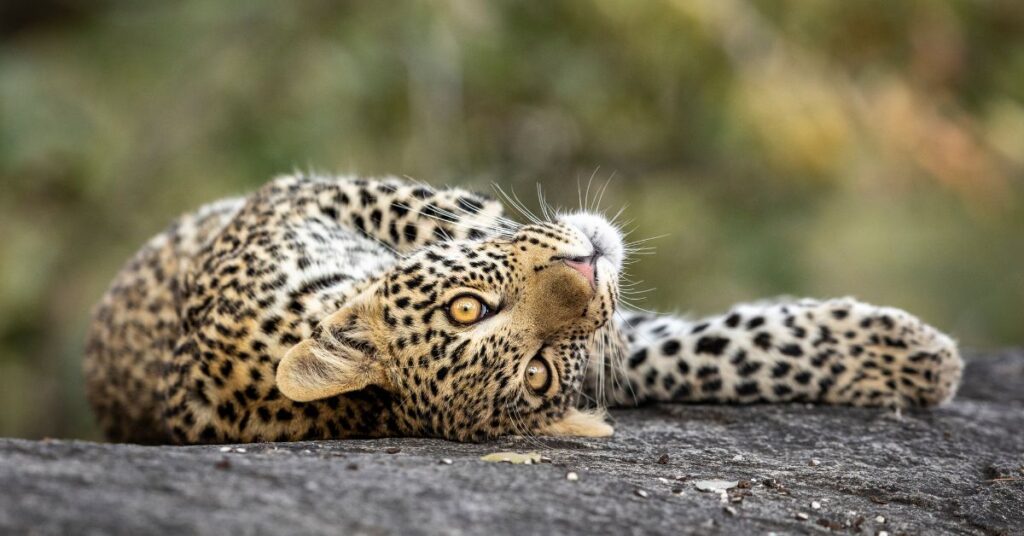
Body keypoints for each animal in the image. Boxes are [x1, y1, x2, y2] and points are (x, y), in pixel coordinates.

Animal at [84, 174, 963, 444]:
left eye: (468, 308)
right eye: (535, 376)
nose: (586, 265)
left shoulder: (303, 196)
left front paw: (903, 356)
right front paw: (923, 359)